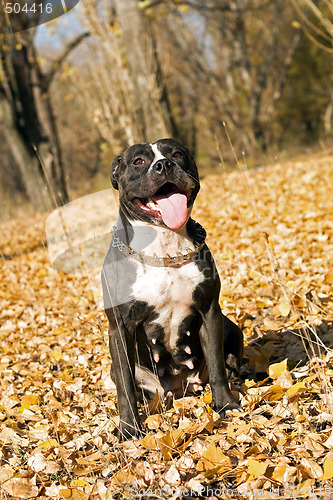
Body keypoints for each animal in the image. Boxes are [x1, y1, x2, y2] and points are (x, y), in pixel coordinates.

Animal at [100, 139, 241, 440]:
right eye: (138, 161)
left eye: (177, 153)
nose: (163, 164)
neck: (164, 249)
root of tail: (181, 389)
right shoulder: (119, 328)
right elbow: (125, 387)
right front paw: (129, 429)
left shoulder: (210, 312)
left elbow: (217, 365)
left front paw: (226, 405)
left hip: (233, 328)